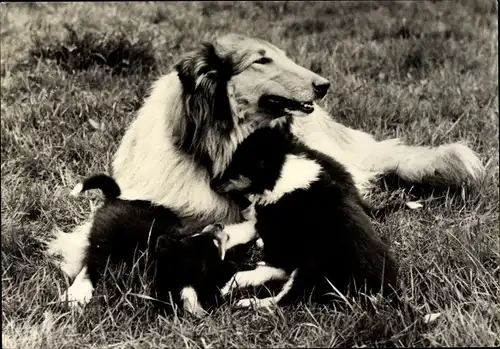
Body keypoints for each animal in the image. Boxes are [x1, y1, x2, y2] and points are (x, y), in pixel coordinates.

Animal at [209, 123, 400, 308]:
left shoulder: (278, 235)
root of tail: (384, 290)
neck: (283, 175)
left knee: (284, 300)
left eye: (236, 169)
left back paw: (249, 301)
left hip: (313, 270)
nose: (211, 184)